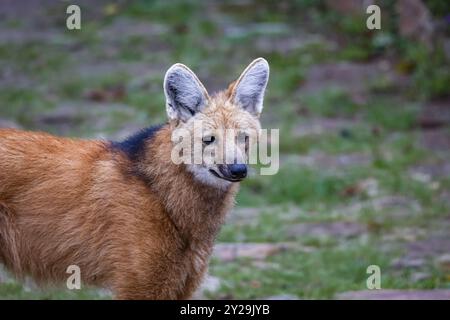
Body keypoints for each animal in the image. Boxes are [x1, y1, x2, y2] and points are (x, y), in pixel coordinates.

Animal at [0, 57, 268, 298]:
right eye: (209, 139)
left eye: (243, 138)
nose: (238, 170)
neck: (163, 197)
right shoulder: (141, 285)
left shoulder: (181, 283)